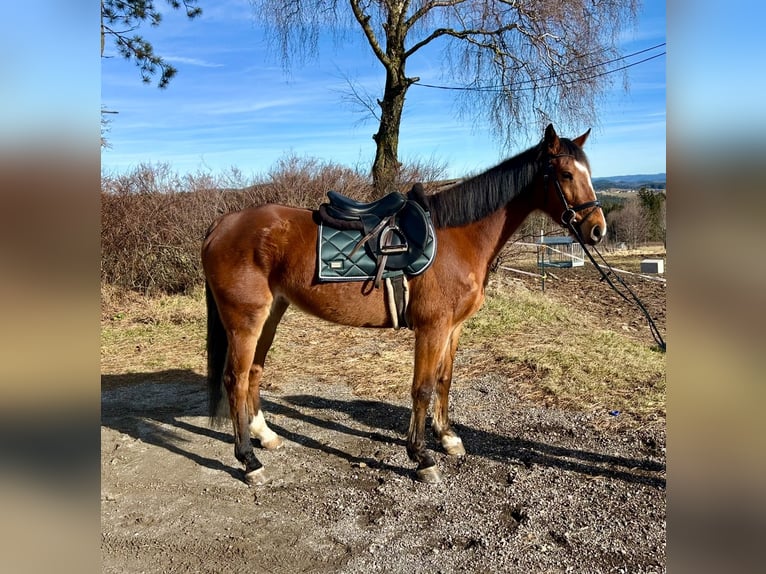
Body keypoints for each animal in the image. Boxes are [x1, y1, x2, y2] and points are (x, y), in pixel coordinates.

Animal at [202, 125, 608, 486]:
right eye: (566, 174)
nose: (597, 229)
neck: (458, 237)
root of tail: (222, 224)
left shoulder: (453, 328)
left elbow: (444, 380)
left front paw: (447, 437)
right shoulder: (432, 327)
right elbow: (422, 388)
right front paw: (421, 456)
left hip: (271, 313)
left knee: (253, 372)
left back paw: (265, 436)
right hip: (244, 320)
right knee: (234, 379)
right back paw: (248, 461)